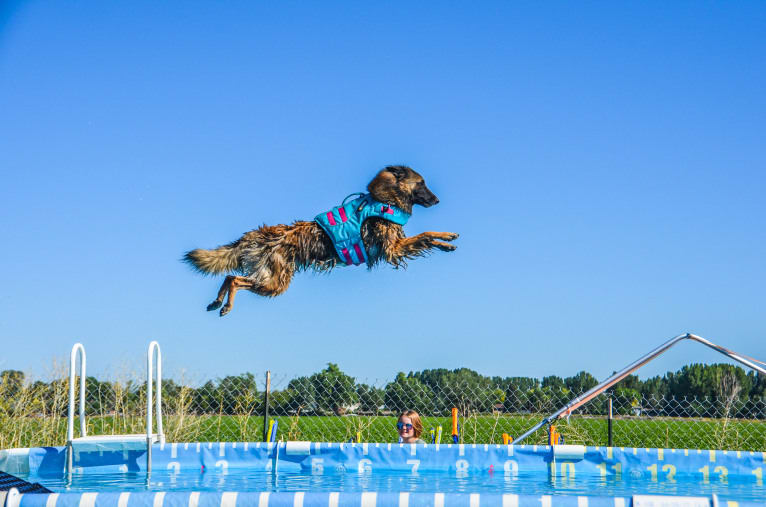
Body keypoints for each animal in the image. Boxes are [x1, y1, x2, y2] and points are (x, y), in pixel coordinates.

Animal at [184, 167, 462, 316]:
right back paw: (226, 305)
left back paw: (216, 301)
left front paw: (447, 242)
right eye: (422, 183)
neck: (385, 200)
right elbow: (425, 235)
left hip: (269, 277)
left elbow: (426, 238)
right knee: (236, 280)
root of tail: (256, 235)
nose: (437, 200)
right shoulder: (393, 248)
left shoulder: (397, 247)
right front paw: (446, 238)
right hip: (276, 282)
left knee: (230, 276)